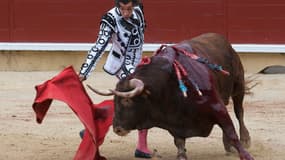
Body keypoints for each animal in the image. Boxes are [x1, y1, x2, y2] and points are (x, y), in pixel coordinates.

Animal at [89, 32, 253, 160]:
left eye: (128, 100)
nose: (117, 128)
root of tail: (221, 39)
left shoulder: (216, 107)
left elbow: (231, 131)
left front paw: (245, 155)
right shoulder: (174, 121)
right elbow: (179, 142)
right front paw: (181, 155)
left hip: (238, 85)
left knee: (239, 112)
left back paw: (245, 139)